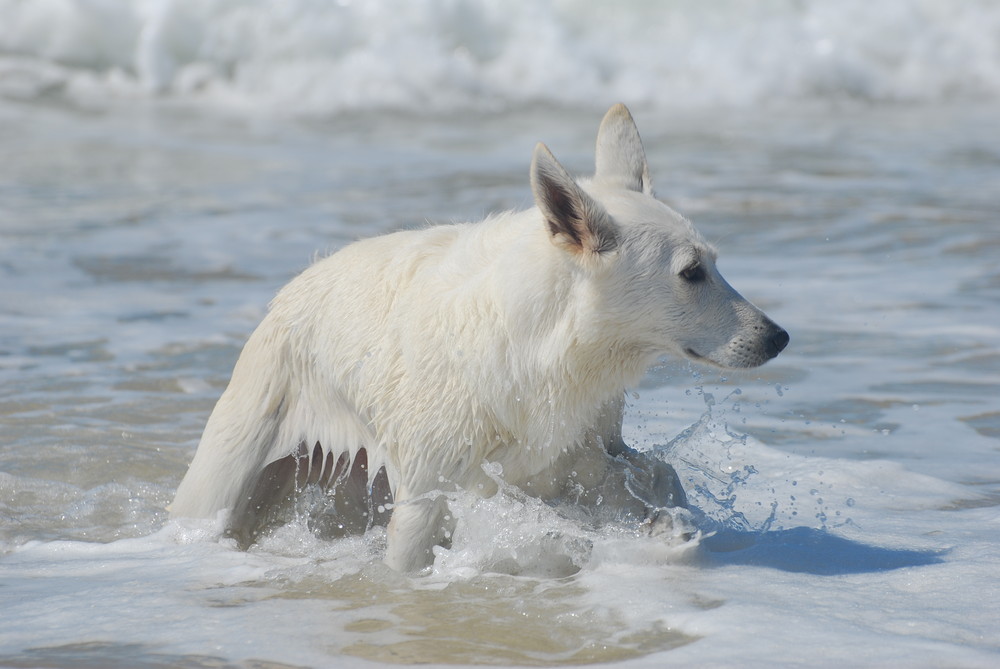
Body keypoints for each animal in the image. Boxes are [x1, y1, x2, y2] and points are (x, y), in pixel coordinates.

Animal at [170, 103, 788, 568]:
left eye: (713, 264)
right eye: (691, 273)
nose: (779, 337)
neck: (543, 345)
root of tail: (285, 295)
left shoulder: (585, 448)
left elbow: (653, 472)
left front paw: (668, 528)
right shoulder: (428, 491)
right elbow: (410, 554)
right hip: (230, 463)